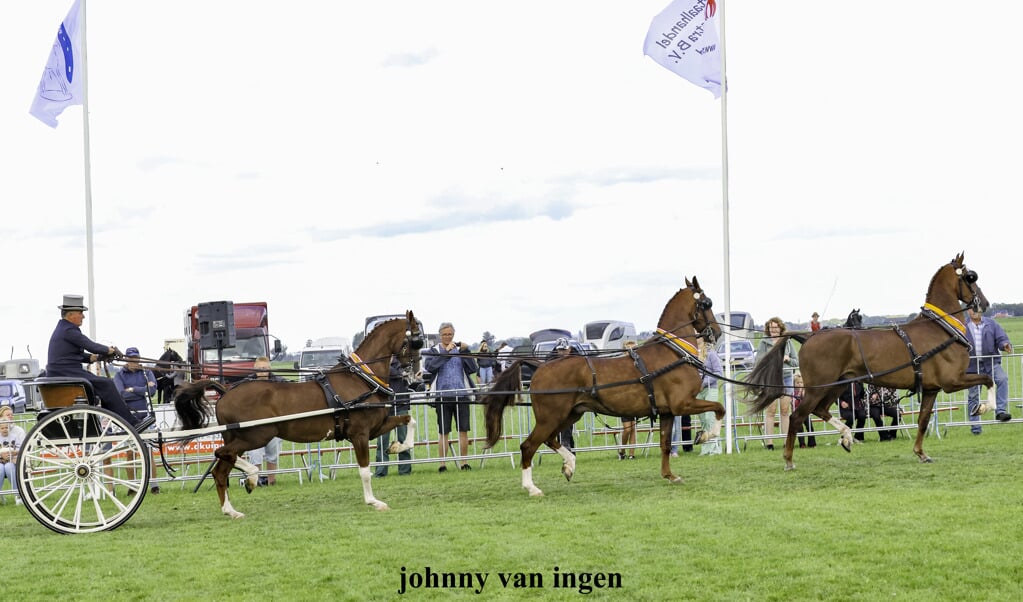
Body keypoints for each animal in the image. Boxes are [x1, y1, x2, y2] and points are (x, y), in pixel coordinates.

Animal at [173, 311, 421, 518]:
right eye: (415, 340)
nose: (418, 376)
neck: (361, 378)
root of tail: (226, 391)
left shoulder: (376, 428)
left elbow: (410, 420)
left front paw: (397, 447)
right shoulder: (359, 434)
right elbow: (365, 472)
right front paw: (373, 501)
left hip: (240, 438)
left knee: (221, 469)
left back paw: (231, 510)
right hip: (256, 436)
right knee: (222, 454)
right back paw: (252, 478)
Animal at [482, 278, 724, 493]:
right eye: (707, 303)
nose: (717, 332)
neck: (673, 352)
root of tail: (540, 366)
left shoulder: (667, 412)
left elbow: (665, 444)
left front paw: (670, 476)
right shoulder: (683, 404)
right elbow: (719, 408)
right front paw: (705, 435)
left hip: (570, 414)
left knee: (550, 440)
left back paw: (569, 466)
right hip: (551, 417)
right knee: (529, 446)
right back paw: (532, 487)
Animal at [744, 251, 990, 468]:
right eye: (971, 277)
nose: (985, 303)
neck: (940, 328)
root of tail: (809, 337)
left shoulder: (931, 389)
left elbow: (922, 421)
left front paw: (921, 453)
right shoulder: (952, 382)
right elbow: (988, 380)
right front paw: (987, 408)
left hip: (836, 385)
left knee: (820, 410)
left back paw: (847, 436)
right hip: (817, 389)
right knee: (797, 417)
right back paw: (789, 459)